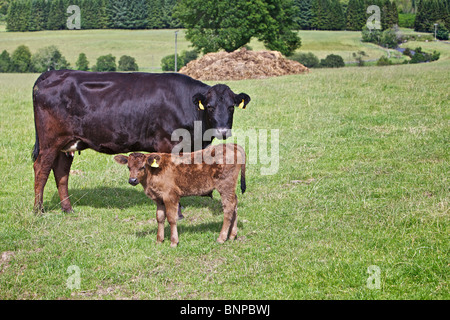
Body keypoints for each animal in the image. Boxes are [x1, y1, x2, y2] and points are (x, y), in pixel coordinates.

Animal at [31, 71, 250, 214]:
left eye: (231, 107)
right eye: (210, 107)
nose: (222, 130)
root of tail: (52, 73)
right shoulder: (168, 144)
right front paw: (176, 210)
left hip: (67, 143)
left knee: (61, 172)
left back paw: (67, 209)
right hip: (50, 142)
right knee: (41, 169)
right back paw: (38, 210)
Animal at [112, 143, 246, 248]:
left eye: (142, 166)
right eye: (128, 167)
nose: (132, 180)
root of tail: (233, 145)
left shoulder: (170, 195)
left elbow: (171, 218)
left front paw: (173, 242)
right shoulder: (159, 198)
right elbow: (159, 217)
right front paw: (159, 240)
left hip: (225, 185)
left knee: (228, 207)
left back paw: (221, 238)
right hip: (230, 188)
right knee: (235, 204)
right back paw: (232, 235)